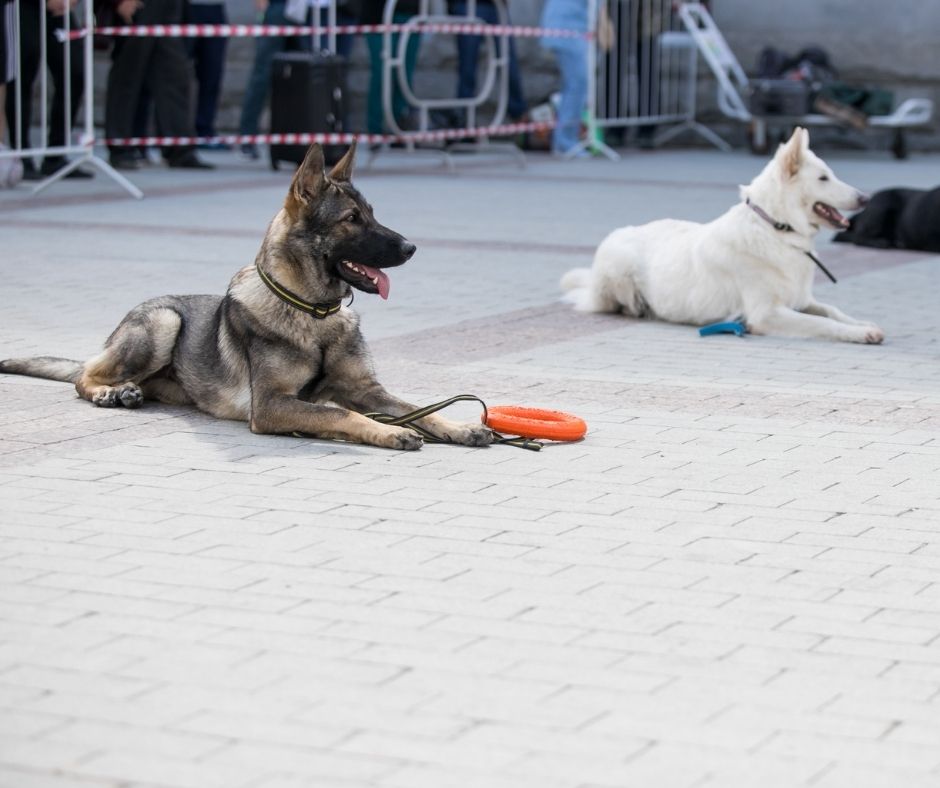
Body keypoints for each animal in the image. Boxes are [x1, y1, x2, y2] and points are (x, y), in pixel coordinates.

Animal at [0, 142, 496, 450]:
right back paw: (110, 392)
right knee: (84, 373)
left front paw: (458, 426)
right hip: (164, 321)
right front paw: (388, 432)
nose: (411, 248)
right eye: (351, 219)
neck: (313, 312)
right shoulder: (274, 406)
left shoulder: (365, 389)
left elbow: (417, 409)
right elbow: (344, 416)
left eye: (373, 214)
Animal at [560, 127, 884, 344]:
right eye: (823, 178)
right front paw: (859, 332)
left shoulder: (800, 300)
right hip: (620, 268)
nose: (866, 198)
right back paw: (641, 308)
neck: (775, 229)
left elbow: (831, 311)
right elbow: (822, 324)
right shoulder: (766, 314)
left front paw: (861, 323)